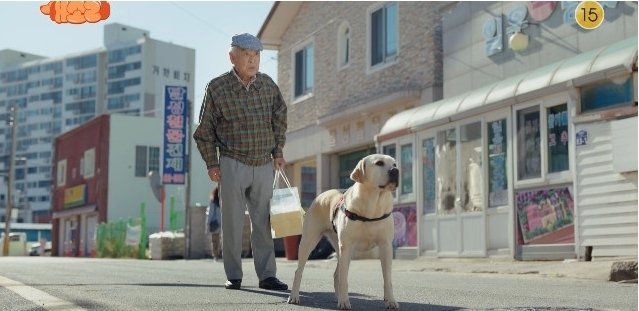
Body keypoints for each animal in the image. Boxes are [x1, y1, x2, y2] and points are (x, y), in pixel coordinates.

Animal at [290, 155, 400, 310]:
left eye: (394, 164)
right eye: (379, 163)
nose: (395, 171)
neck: (372, 205)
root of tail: (321, 195)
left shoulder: (385, 246)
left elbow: (387, 278)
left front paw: (390, 300)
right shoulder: (346, 246)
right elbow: (344, 278)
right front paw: (344, 301)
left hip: (341, 248)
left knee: (337, 273)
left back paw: (337, 296)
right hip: (309, 242)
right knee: (299, 271)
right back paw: (294, 296)